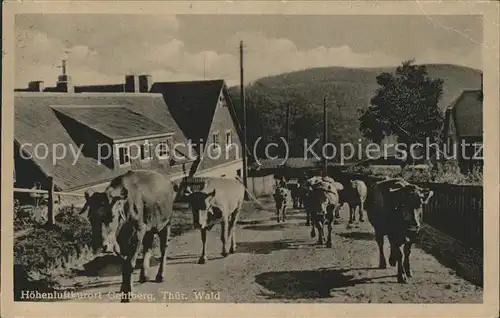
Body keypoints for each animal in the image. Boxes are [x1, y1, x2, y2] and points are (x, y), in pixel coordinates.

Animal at [81, 171, 177, 304]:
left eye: (112, 216)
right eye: (90, 217)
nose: (101, 245)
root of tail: (166, 180)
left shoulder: (137, 234)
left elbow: (130, 264)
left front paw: (127, 294)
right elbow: (124, 264)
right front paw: (123, 289)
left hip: (166, 223)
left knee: (164, 248)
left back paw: (160, 275)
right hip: (149, 228)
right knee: (148, 247)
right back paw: (144, 275)